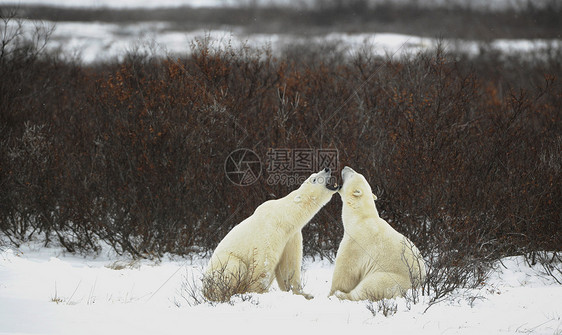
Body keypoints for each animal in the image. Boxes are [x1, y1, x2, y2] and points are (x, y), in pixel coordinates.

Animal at [203, 168, 340, 302]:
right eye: (314, 179)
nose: (327, 169)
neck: (284, 217)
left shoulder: (291, 236)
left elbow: (290, 264)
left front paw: (304, 294)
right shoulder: (269, 232)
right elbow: (263, 262)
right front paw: (259, 293)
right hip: (223, 266)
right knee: (236, 266)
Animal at [328, 167, 424, 302]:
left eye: (352, 174)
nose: (346, 167)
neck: (360, 218)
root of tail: (416, 287)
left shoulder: (356, 242)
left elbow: (345, 271)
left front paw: (331, 294)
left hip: (389, 279)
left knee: (367, 287)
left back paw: (341, 295)